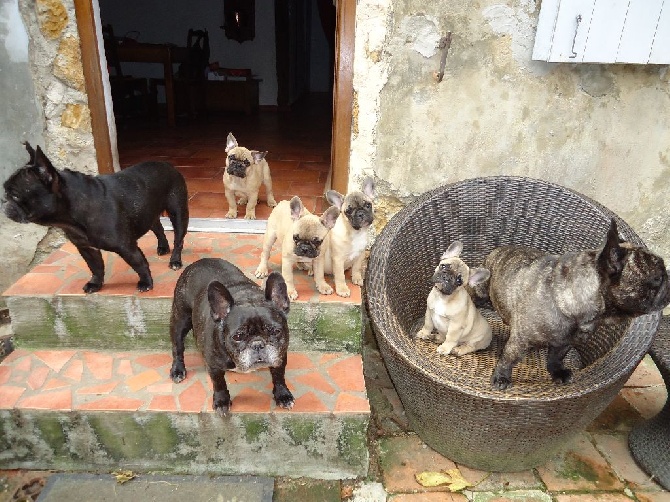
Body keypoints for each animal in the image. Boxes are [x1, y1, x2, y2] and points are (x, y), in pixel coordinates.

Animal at [476, 220, 670, 392]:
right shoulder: (521, 341)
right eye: (657, 278)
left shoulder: (565, 342)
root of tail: (496, 251)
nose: (669, 280)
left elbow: (556, 358)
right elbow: (509, 358)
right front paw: (501, 377)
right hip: (481, 290)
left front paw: (557, 372)